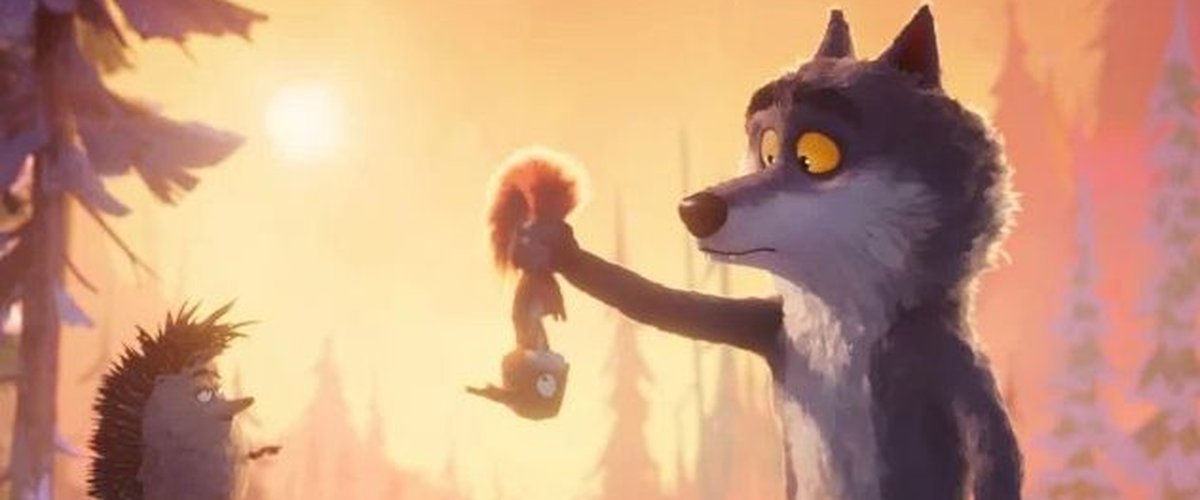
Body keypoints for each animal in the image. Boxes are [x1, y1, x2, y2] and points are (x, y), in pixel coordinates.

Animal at [516, 6, 1022, 500]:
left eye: (815, 156)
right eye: (767, 150)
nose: (693, 209)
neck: (835, 320)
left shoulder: (940, 355)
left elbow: (998, 449)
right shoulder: (767, 326)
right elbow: (656, 301)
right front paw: (556, 246)